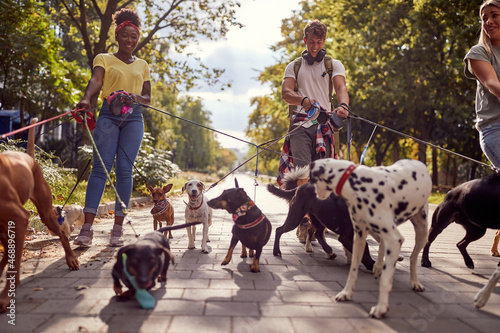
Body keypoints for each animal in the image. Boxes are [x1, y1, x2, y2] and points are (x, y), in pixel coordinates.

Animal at [0, 118, 79, 312]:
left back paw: (71, 259)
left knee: (62, 235)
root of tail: (29, 157)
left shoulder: (20, 218)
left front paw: (6, 297)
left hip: (44, 212)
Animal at [310, 157, 432, 318]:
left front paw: (381, 308)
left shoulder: (395, 239)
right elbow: (353, 269)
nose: (315, 194)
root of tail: (418, 162)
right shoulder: (359, 236)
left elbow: (386, 280)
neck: (357, 182)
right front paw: (346, 293)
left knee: (412, 258)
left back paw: (414, 282)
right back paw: (378, 267)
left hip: (422, 233)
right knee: (382, 247)